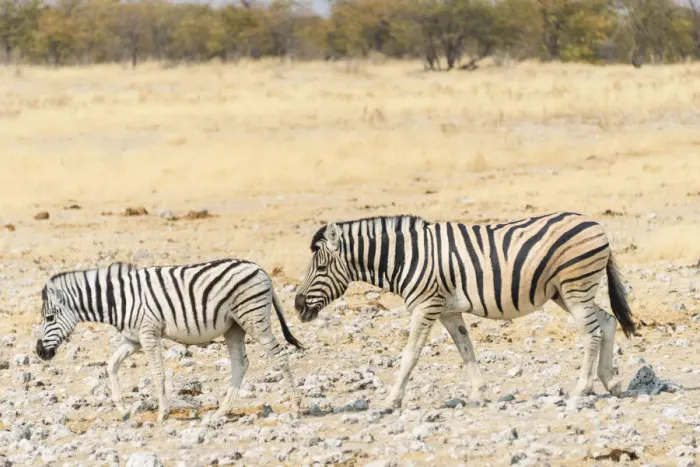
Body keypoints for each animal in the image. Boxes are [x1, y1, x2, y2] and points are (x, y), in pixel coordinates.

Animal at [36, 258, 303, 422]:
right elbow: (111, 365)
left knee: (280, 355)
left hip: (253, 319)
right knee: (240, 364)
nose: (39, 352)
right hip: (234, 327)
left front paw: (162, 413)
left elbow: (157, 373)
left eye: (49, 318)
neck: (118, 301)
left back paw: (296, 405)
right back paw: (221, 412)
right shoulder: (133, 339)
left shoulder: (148, 333)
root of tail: (261, 269)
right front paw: (123, 409)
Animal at [294, 212, 635, 409]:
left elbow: (410, 354)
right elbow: (465, 348)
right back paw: (611, 383)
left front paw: (391, 400)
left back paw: (581, 389)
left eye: (321, 268)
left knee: (592, 332)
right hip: (563, 292)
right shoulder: (447, 310)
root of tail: (594, 223)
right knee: (606, 322)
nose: (297, 306)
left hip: (575, 286)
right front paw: (480, 393)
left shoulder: (426, 305)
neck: (405, 257)